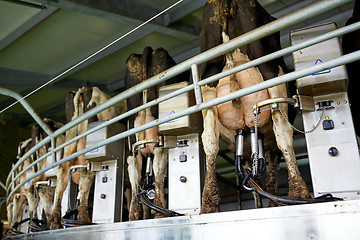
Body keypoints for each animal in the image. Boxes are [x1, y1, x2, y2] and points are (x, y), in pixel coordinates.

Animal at [49, 86, 126, 229]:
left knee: (63, 174)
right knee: (85, 178)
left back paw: (56, 220)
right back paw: (84, 219)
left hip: (70, 143)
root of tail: (86, 88)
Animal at [126, 46, 190, 220]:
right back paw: (160, 209)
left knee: (133, 166)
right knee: (159, 165)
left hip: (133, 139)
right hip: (159, 138)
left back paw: (134, 212)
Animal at [200, 0, 310, 214]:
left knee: (209, 140)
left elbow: (252, 180)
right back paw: (299, 193)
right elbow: (271, 175)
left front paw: (259, 205)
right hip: (271, 73)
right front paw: (271, 203)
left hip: (208, 86)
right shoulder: (271, 149)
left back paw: (208, 204)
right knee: (282, 132)